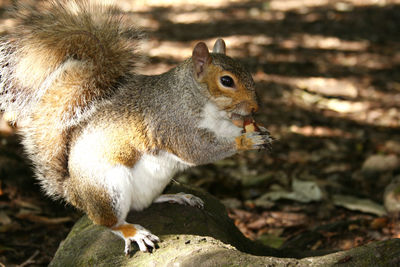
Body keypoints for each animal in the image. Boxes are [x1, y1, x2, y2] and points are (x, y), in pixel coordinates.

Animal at [0, 0, 272, 255]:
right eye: (226, 81)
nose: (256, 107)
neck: (202, 102)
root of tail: (74, 192)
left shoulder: (219, 125)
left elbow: (226, 133)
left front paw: (261, 133)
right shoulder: (173, 122)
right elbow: (196, 149)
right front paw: (246, 141)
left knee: (144, 203)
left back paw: (177, 196)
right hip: (108, 188)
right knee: (108, 222)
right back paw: (132, 231)